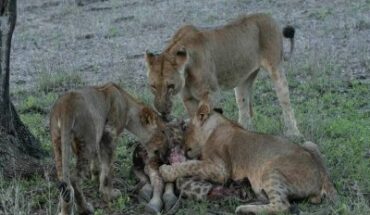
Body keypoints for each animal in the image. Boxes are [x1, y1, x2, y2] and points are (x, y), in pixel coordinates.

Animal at [49, 82, 168, 215]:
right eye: (163, 132)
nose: (167, 148)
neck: (126, 103)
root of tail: (66, 106)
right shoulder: (109, 133)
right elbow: (107, 167)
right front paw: (109, 194)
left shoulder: (99, 135)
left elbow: (97, 160)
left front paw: (95, 177)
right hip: (87, 140)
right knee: (74, 179)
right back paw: (84, 208)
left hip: (58, 140)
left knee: (63, 181)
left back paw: (64, 210)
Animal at [145, 12, 300, 138]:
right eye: (153, 86)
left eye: (170, 86)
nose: (162, 112)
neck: (186, 71)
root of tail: (268, 16)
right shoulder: (187, 98)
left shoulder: (212, 93)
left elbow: (202, 114)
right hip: (243, 80)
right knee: (244, 109)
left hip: (276, 68)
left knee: (285, 102)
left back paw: (294, 133)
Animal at [158, 103, 336, 214]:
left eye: (185, 127)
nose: (182, 146)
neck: (218, 125)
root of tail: (324, 177)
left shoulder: (220, 170)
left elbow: (191, 164)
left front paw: (165, 171)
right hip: (309, 144)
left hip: (270, 170)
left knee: (282, 206)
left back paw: (244, 209)